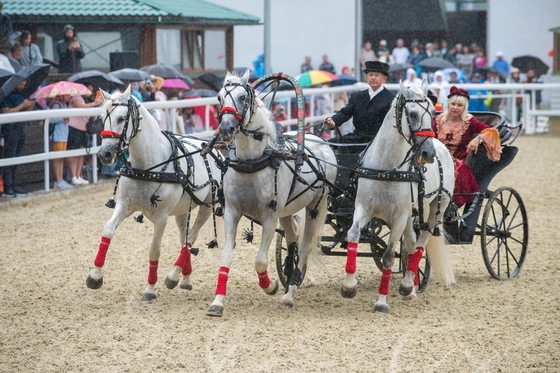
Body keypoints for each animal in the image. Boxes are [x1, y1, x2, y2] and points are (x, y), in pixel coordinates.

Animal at [85, 86, 223, 300]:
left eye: (122, 118)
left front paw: (150, 289)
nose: (104, 154)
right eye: (102, 117)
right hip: (182, 210)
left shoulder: (161, 217)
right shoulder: (124, 205)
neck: (148, 166)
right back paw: (184, 278)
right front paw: (95, 276)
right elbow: (107, 230)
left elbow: (154, 251)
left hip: (207, 207)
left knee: (191, 238)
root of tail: (215, 151)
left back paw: (173, 276)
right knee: (184, 238)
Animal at [206, 70, 336, 316]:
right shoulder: (232, 211)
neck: (252, 162)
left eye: (243, 97)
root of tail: (321, 141)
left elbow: (260, 261)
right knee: (292, 239)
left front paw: (270, 285)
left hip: (315, 205)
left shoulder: (269, 216)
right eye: (219, 98)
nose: (226, 129)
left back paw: (289, 292)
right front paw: (217, 302)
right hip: (286, 210)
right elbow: (226, 256)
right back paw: (289, 270)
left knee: (304, 247)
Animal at [342, 82, 456, 314]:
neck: (386, 168)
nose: (428, 154)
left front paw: (381, 302)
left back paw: (407, 284)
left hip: (436, 207)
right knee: (411, 243)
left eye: (432, 113)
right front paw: (349, 286)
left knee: (422, 241)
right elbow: (353, 234)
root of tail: (441, 147)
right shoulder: (363, 208)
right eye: (412, 114)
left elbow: (388, 257)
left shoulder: (399, 217)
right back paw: (410, 287)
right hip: (412, 212)